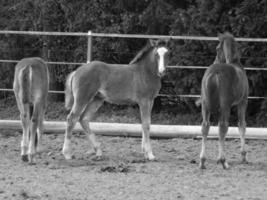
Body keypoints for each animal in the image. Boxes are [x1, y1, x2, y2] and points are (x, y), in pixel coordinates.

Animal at [201, 32, 249, 169]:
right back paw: (224, 161)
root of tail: (215, 72)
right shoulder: (243, 102)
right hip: (226, 106)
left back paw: (202, 161)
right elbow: (242, 125)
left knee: (205, 126)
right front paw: (243, 156)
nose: (215, 60)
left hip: (205, 105)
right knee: (224, 126)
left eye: (217, 49)